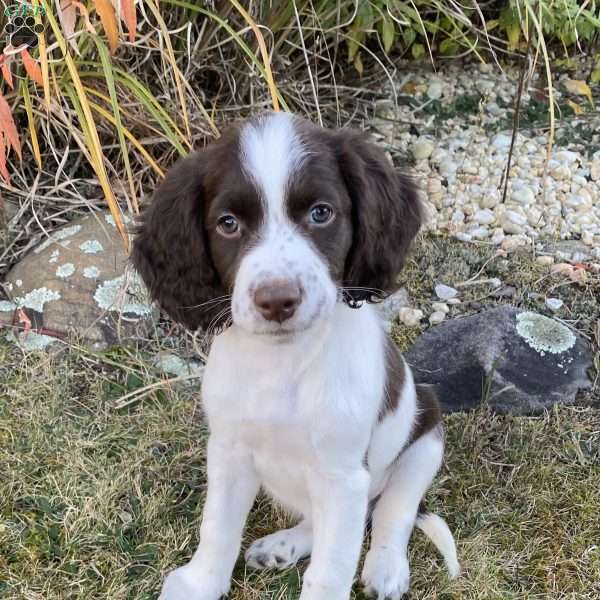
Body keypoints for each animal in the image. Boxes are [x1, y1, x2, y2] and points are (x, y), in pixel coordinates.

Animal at [132, 112, 460, 600]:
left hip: (425, 436)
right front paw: (200, 583)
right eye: (227, 223)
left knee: (390, 511)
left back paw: (386, 566)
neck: (282, 361)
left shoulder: (344, 474)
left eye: (320, 213)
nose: (276, 301)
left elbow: (331, 568)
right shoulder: (228, 450)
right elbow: (218, 527)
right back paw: (284, 545)